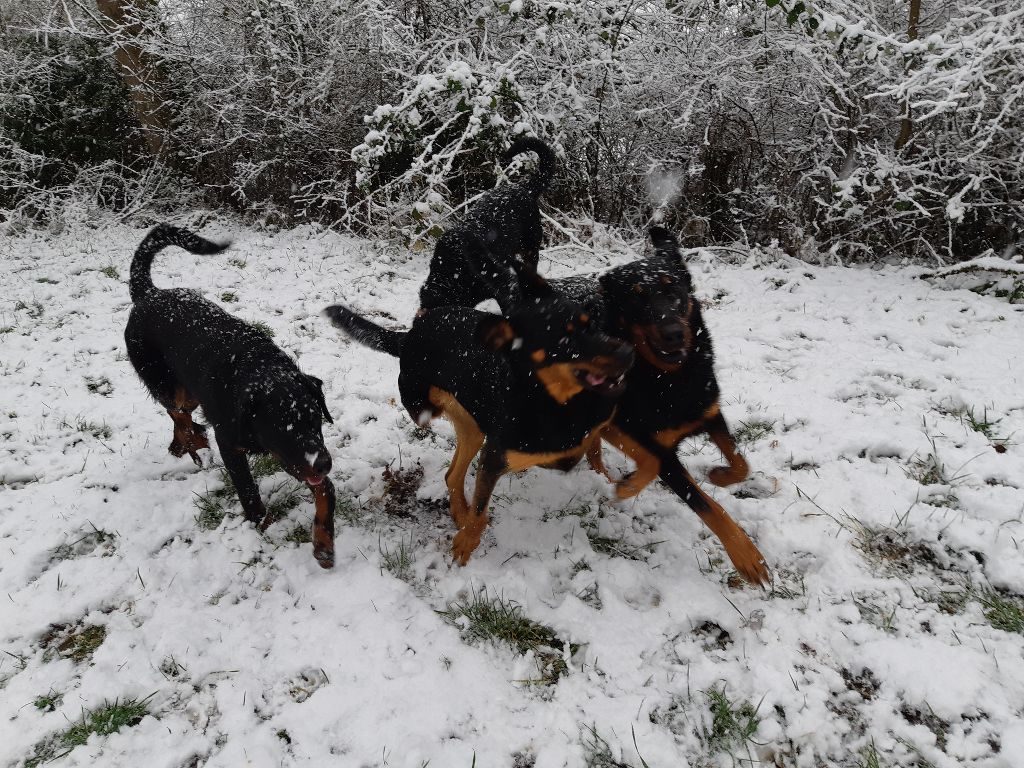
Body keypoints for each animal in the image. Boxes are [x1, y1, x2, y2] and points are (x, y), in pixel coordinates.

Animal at [124, 225, 335, 569]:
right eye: (284, 427)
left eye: (316, 419)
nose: (325, 463)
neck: (259, 369)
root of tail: (149, 294)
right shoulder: (232, 443)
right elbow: (248, 490)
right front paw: (262, 524)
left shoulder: (296, 457)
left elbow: (325, 490)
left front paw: (324, 543)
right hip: (165, 382)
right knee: (176, 412)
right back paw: (193, 440)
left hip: (190, 392)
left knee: (181, 415)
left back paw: (183, 442)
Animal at [327, 270, 630, 565]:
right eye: (564, 340)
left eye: (592, 324)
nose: (627, 351)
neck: (558, 404)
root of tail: (408, 336)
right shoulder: (494, 458)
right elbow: (481, 510)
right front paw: (467, 542)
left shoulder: (598, 420)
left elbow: (599, 447)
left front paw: (611, 479)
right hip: (430, 408)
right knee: (447, 458)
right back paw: (463, 515)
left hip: (472, 431)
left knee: (452, 474)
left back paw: (460, 512)